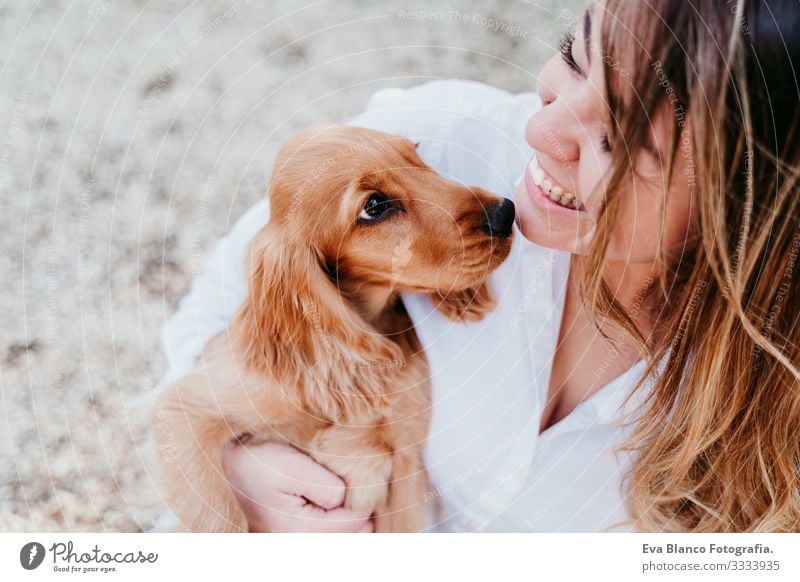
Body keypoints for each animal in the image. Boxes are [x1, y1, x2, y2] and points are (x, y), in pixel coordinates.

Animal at [153, 125, 516, 532]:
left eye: (416, 155)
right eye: (374, 207)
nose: (506, 212)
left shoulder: (407, 464)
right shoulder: (184, 410)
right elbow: (219, 517)